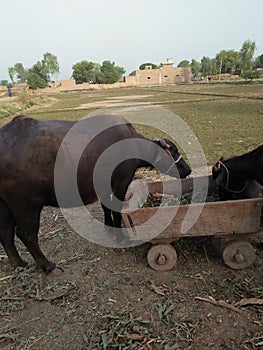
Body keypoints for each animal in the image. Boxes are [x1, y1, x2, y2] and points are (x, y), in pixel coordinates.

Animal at [0, 116, 191, 272]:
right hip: (26, 205)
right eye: (174, 151)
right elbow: (116, 210)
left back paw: (19, 263)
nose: (188, 170)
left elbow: (106, 207)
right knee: (26, 234)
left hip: (5, 205)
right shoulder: (121, 183)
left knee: (6, 232)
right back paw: (47, 265)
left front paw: (109, 228)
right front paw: (120, 236)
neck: (132, 145)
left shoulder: (104, 187)